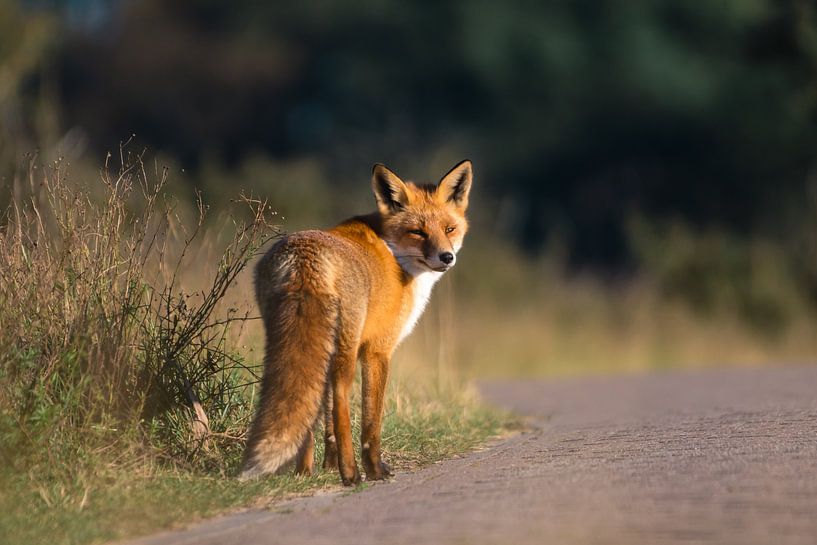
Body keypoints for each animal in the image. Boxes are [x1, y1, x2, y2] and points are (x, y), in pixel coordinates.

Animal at [239, 160, 473, 485]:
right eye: (417, 232)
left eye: (450, 229)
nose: (446, 257)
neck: (394, 253)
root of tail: (304, 258)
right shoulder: (378, 350)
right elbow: (372, 420)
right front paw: (374, 468)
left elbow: (324, 419)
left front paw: (327, 466)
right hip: (346, 352)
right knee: (341, 405)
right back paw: (352, 473)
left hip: (291, 344)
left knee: (306, 403)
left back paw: (304, 472)